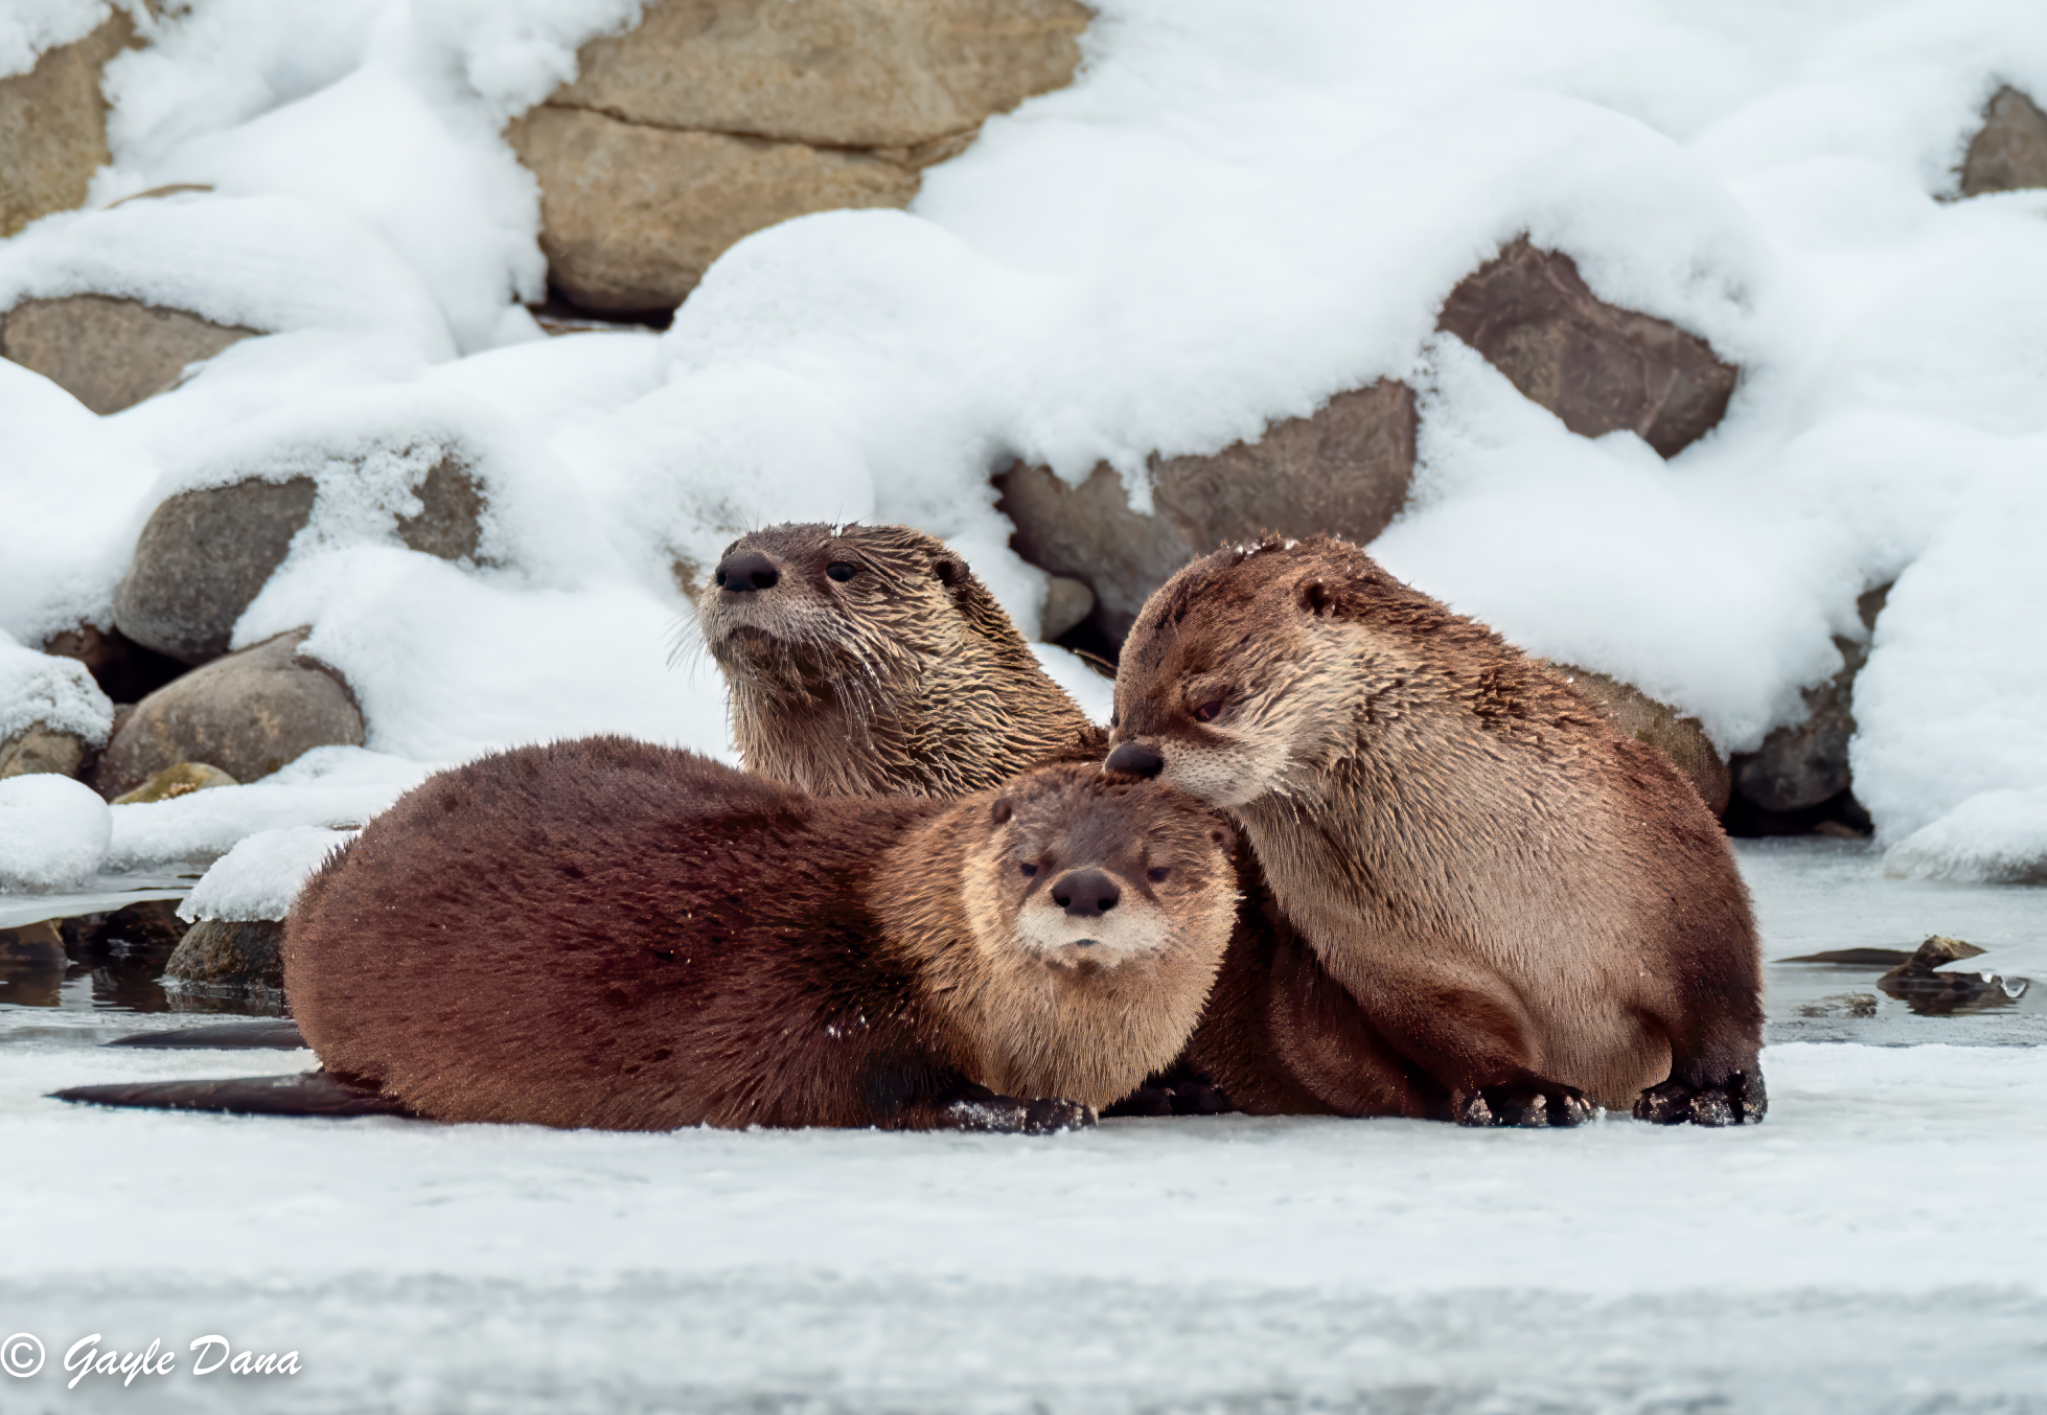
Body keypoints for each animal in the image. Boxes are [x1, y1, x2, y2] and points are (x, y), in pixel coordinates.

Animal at [62, 740, 1239, 1131]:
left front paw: (1177, 1089)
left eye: (1155, 863)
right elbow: (867, 1085)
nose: (1084, 887)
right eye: (1030, 859)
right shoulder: (822, 998)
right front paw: (1028, 1108)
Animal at [1103, 536, 1766, 1128]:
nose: (1127, 760)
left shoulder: (1669, 851)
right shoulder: (1393, 960)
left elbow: (1719, 987)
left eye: (1209, 704)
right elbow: (1450, 1034)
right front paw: (1524, 1096)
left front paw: (1713, 1092)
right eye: (1119, 711)